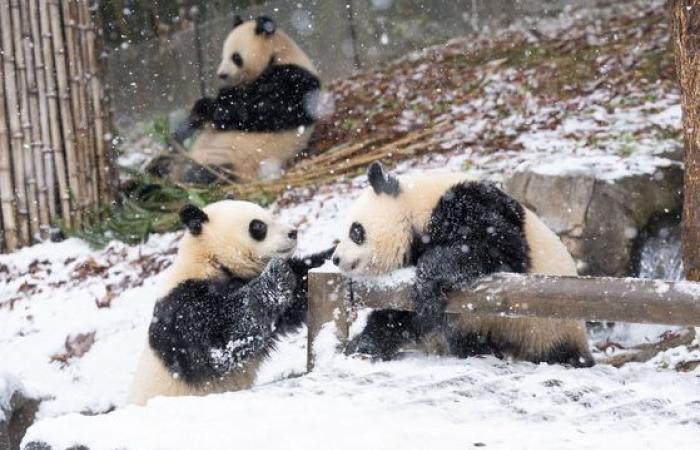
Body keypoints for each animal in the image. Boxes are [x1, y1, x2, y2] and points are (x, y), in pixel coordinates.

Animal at [129, 200, 336, 404]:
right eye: (258, 226)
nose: (293, 232)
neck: (210, 260)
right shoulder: (182, 309)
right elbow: (222, 344)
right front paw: (275, 274)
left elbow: (300, 287)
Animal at [168, 14, 322, 183]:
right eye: (223, 56)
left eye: (235, 57)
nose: (222, 74)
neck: (278, 54)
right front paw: (197, 113)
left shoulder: (296, 80)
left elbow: (266, 109)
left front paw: (211, 108)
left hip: (234, 162)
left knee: (210, 173)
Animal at [330, 161, 592, 366]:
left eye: (356, 231)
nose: (335, 258)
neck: (417, 208)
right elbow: (399, 313)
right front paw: (362, 345)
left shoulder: (468, 204)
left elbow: (499, 247)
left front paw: (427, 286)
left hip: (548, 325)